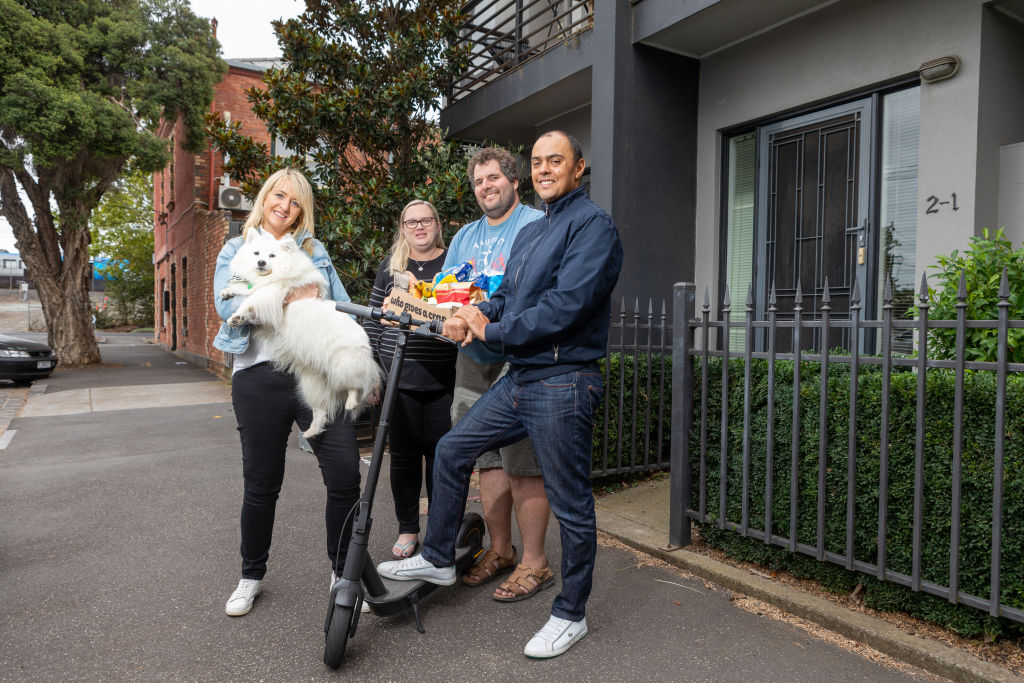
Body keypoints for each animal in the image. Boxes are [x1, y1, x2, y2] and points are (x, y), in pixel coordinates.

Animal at [220, 231, 380, 438]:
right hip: (312, 383)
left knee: (357, 384)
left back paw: (351, 401)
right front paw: (228, 291)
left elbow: (250, 300)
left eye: (272, 256)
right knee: (321, 410)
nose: (261, 262)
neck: (277, 272)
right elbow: (244, 288)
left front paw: (237, 316)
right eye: (256, 253)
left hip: (344, 363)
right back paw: (311, 431)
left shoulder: (271, 291)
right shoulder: (260, 287)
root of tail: (364, 342)